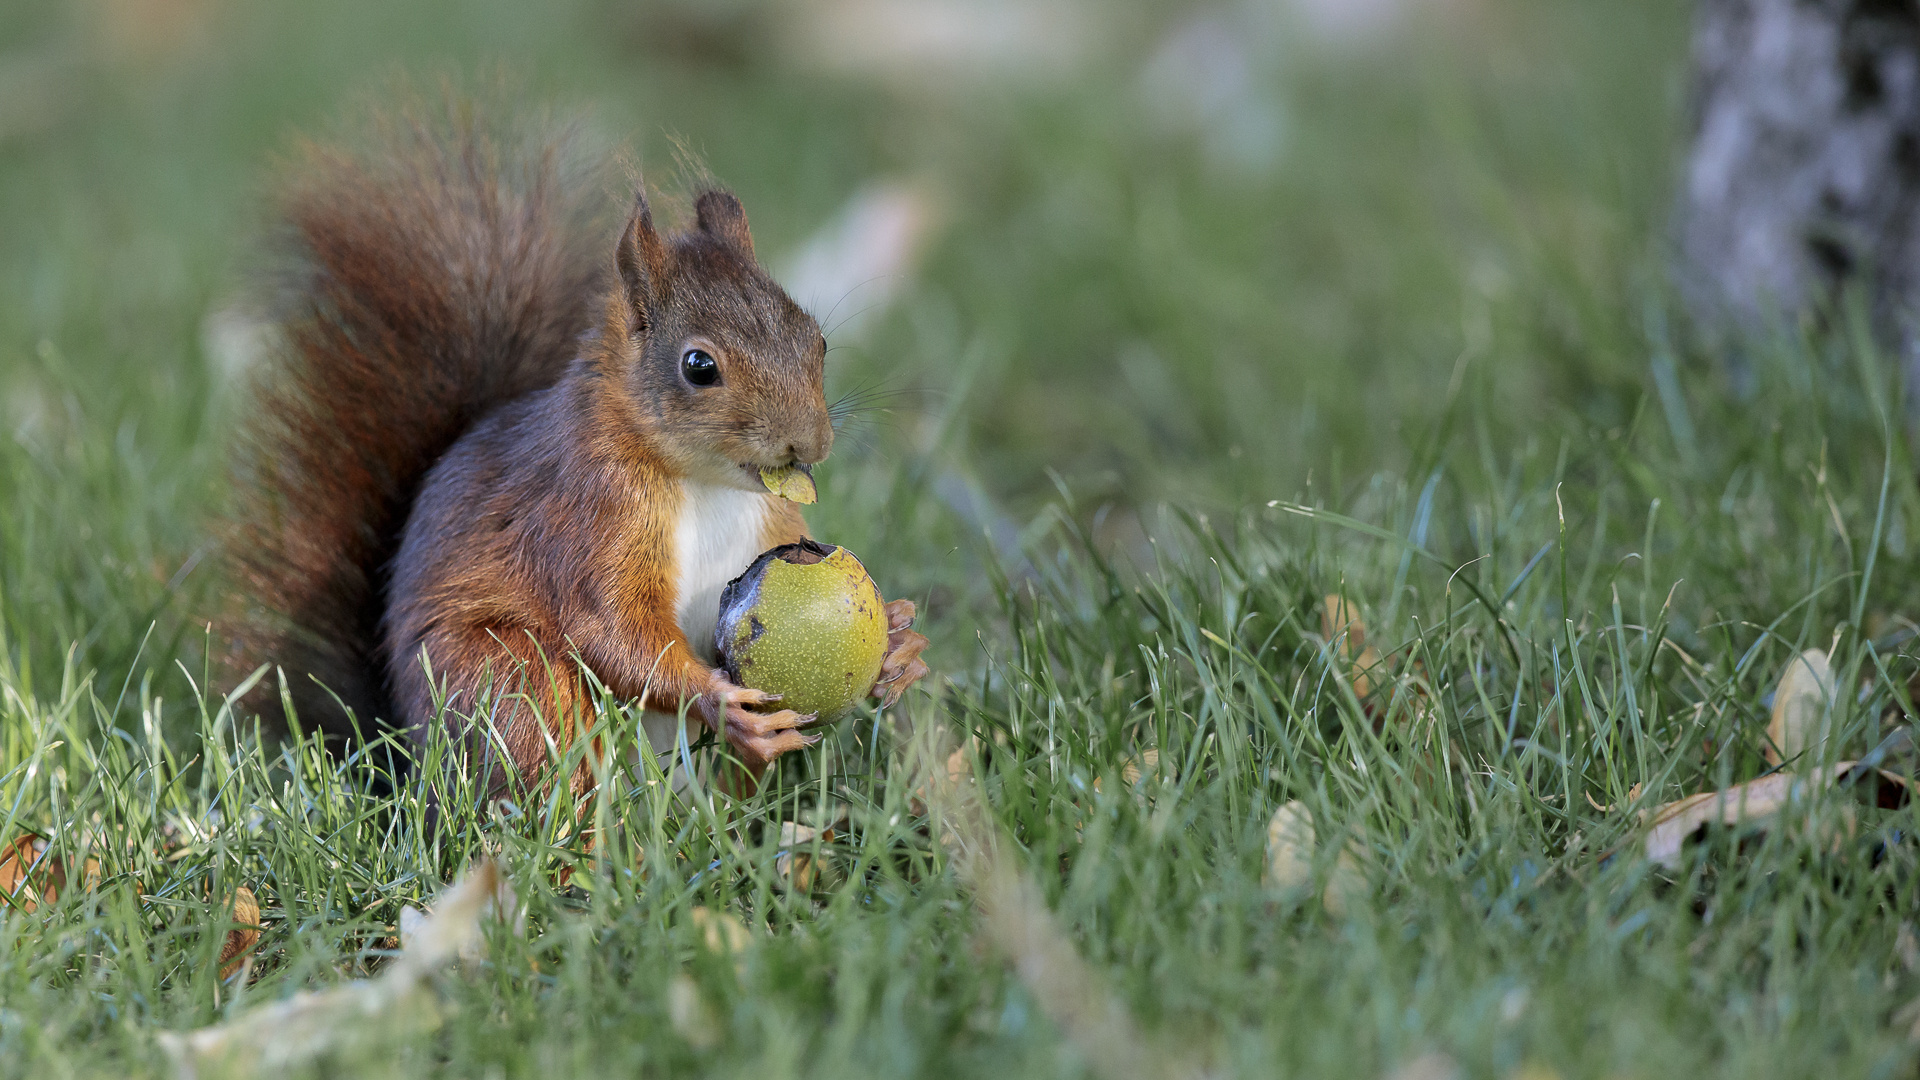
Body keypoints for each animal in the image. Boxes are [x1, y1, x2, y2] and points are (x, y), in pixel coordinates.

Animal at [217, 102, 929, 791]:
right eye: (699, 367)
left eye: (816, 339)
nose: (811, 442)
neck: (707, 482)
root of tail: (404, 756)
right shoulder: (584, 515)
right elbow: (611, 629)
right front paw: (721, 702)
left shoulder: (772, 525)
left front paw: (898, 641)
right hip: (507, 681)